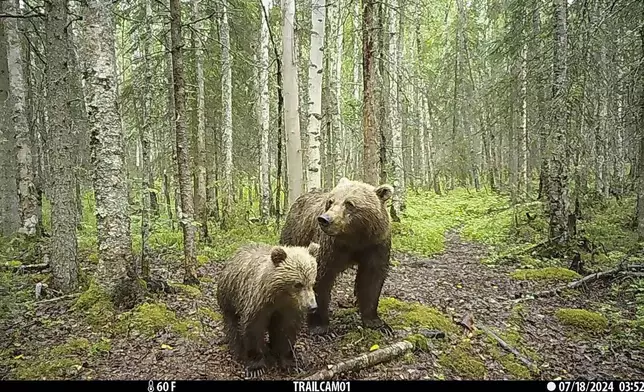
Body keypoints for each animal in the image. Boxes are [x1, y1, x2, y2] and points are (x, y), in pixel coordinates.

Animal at [280, 179, 394, 336]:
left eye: (349, 203)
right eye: (330, 201)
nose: (324, 219)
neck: (355, 239)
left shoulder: (375, 244)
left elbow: (372, 279)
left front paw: (377, 322)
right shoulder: (330, 246)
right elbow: (321, 277)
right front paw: (320, 327)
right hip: (295, 234)